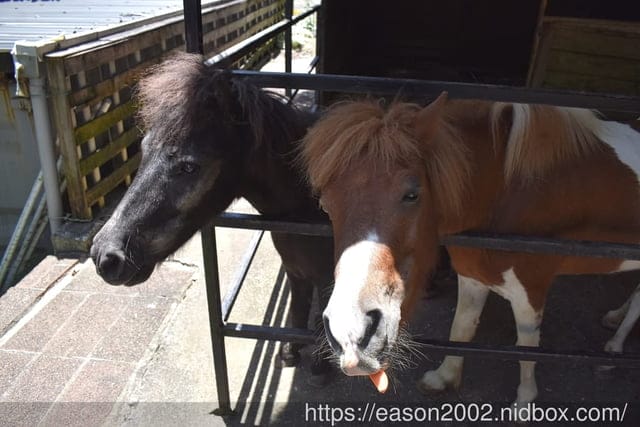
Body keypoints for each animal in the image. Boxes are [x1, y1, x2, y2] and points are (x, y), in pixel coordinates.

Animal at [90, 52, 334, 383]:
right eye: (143, 149)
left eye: (189, 166)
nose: (105, 255)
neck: (309, 208)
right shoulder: (296, 271)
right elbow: (298, 311)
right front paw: (289, 353)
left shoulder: (328, 278)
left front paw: (320, 365)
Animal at [299, 93, 640, 404]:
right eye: (325, 205)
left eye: (412, 194)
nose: (352, 334)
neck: (507, 193)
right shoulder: (474, 276)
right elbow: (461, 329)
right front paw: (445, 377)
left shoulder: (531, 290)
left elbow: (526, 345)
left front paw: (525, 401)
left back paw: (614, 348)